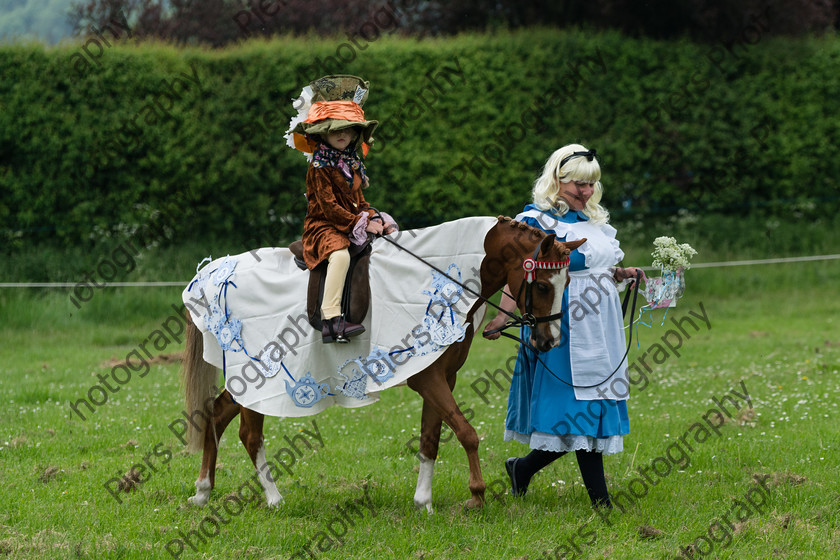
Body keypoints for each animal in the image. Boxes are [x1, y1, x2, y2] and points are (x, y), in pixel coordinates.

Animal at [180, 218, 580, 512]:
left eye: (566, 283)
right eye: (543, 286)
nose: (549, 341)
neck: (445, 272)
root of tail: (213, 272)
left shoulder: (441, 376)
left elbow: (431, 438)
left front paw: (424, 502)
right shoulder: (427, 377)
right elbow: (467, 433)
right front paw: (477, 495)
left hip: (244, 383)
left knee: (216, 415)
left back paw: (203, 490)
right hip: (261, 379)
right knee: (250, 435)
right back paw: (273, 498)